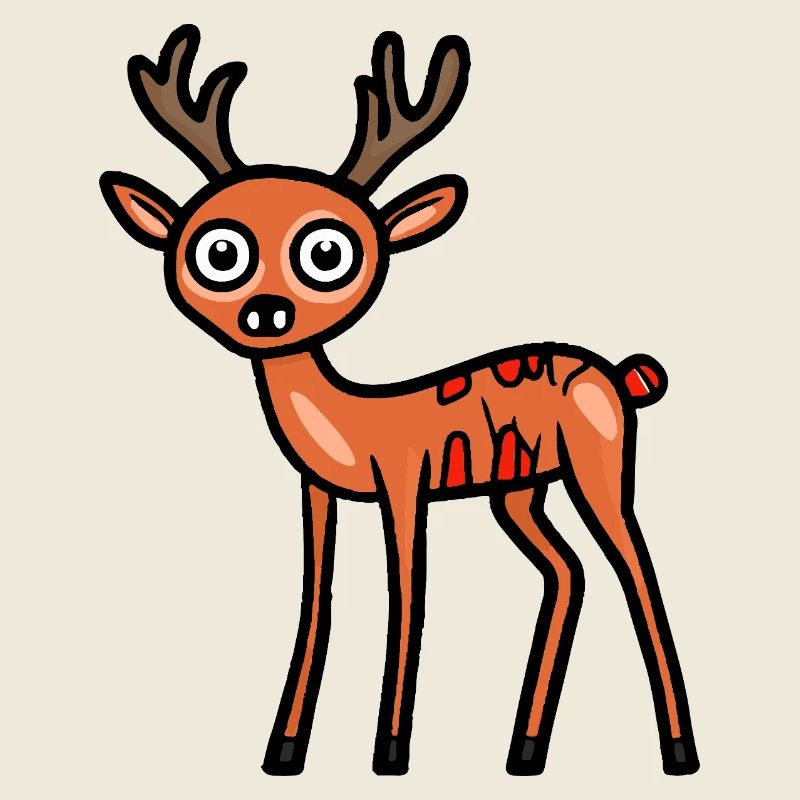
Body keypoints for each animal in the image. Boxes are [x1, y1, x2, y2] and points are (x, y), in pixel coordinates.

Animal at [99, 25, 700, 777]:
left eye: (327, 253)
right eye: (219, 252)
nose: (266, 313)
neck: (354, 419)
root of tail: (619, 374)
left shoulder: (406, 484)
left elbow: (407, 596)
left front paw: (389, 751)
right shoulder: (318, 491)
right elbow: (317, 598)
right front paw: (284, 751)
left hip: (599, 468)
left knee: (636, 571)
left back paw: (677, 751)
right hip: (519, 492)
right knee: (568, 573)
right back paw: (523, 750)